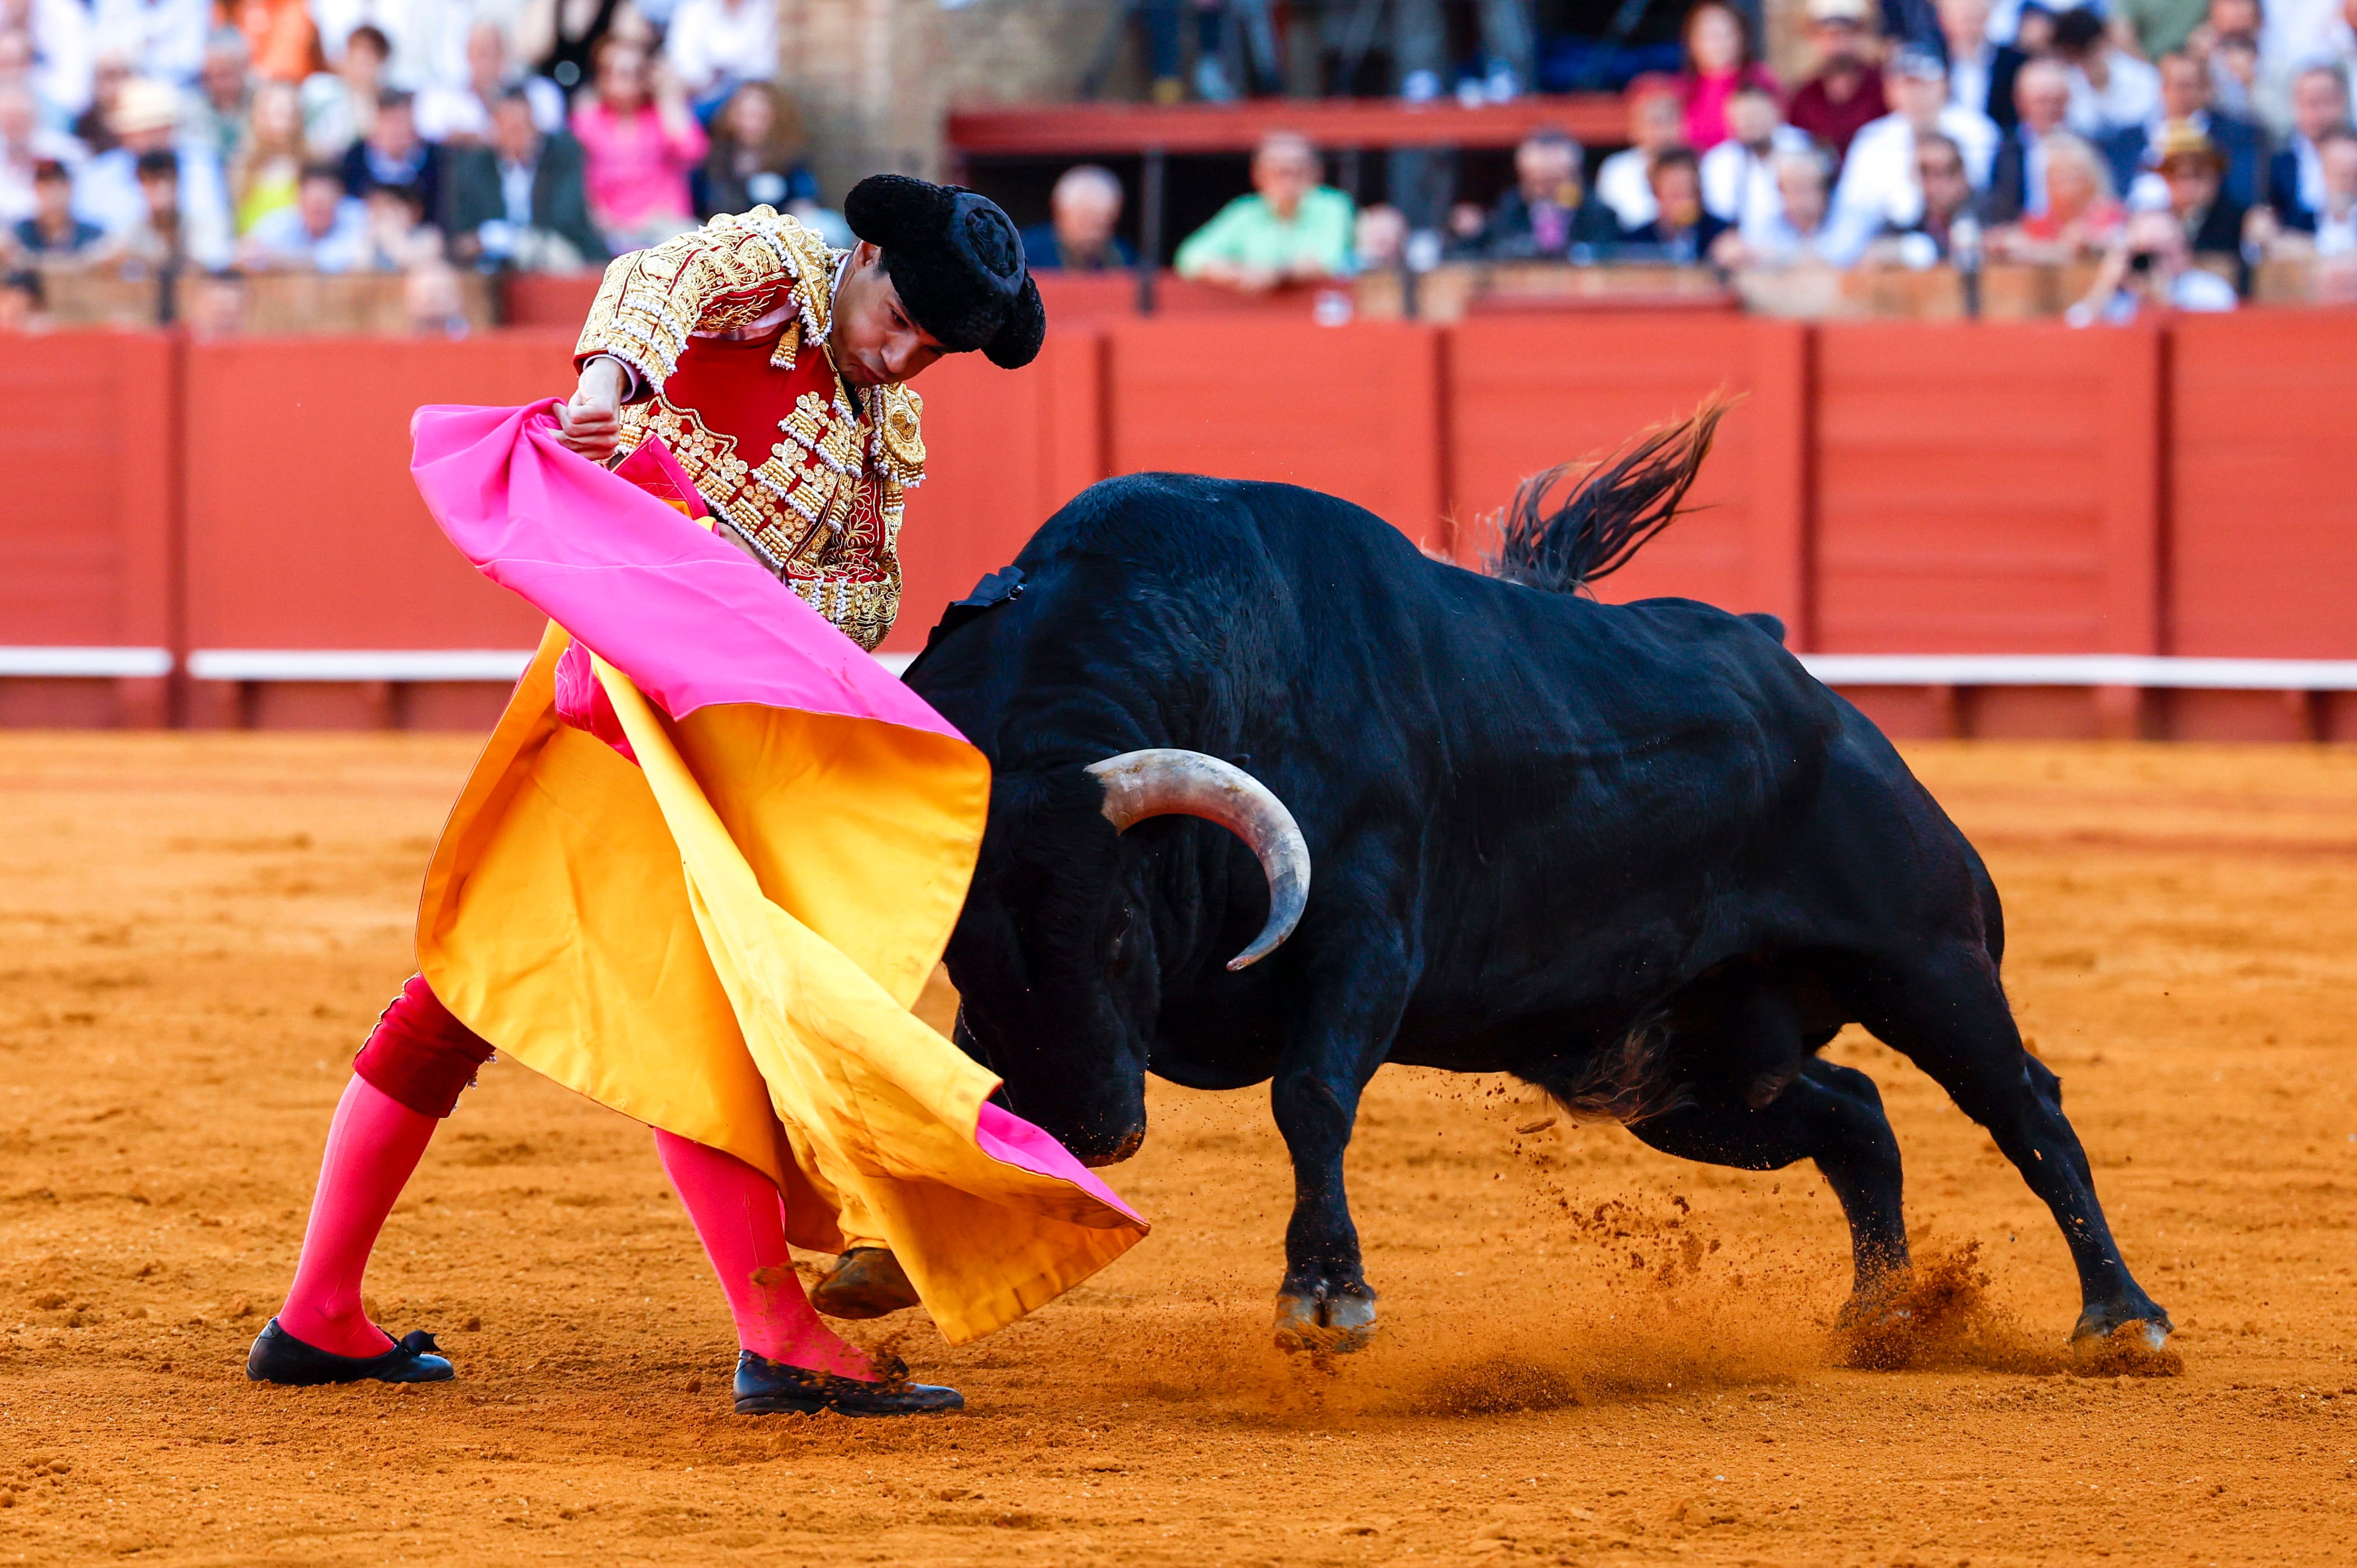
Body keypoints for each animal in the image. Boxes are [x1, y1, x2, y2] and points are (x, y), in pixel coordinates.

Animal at [905, 410, 2168, 1348]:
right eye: (966, 954)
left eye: (1119, 930)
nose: (1079, 1125)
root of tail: (1809, 688)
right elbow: (951, 1086)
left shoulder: (1364, 942)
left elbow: (1309, 1095)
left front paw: (1325, 1296)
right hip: (1680, 1068)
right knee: (1853, 1114)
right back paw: (1881, 1315)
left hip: (1925, 963)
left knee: (2023, 1103)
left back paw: (2120, 1317)